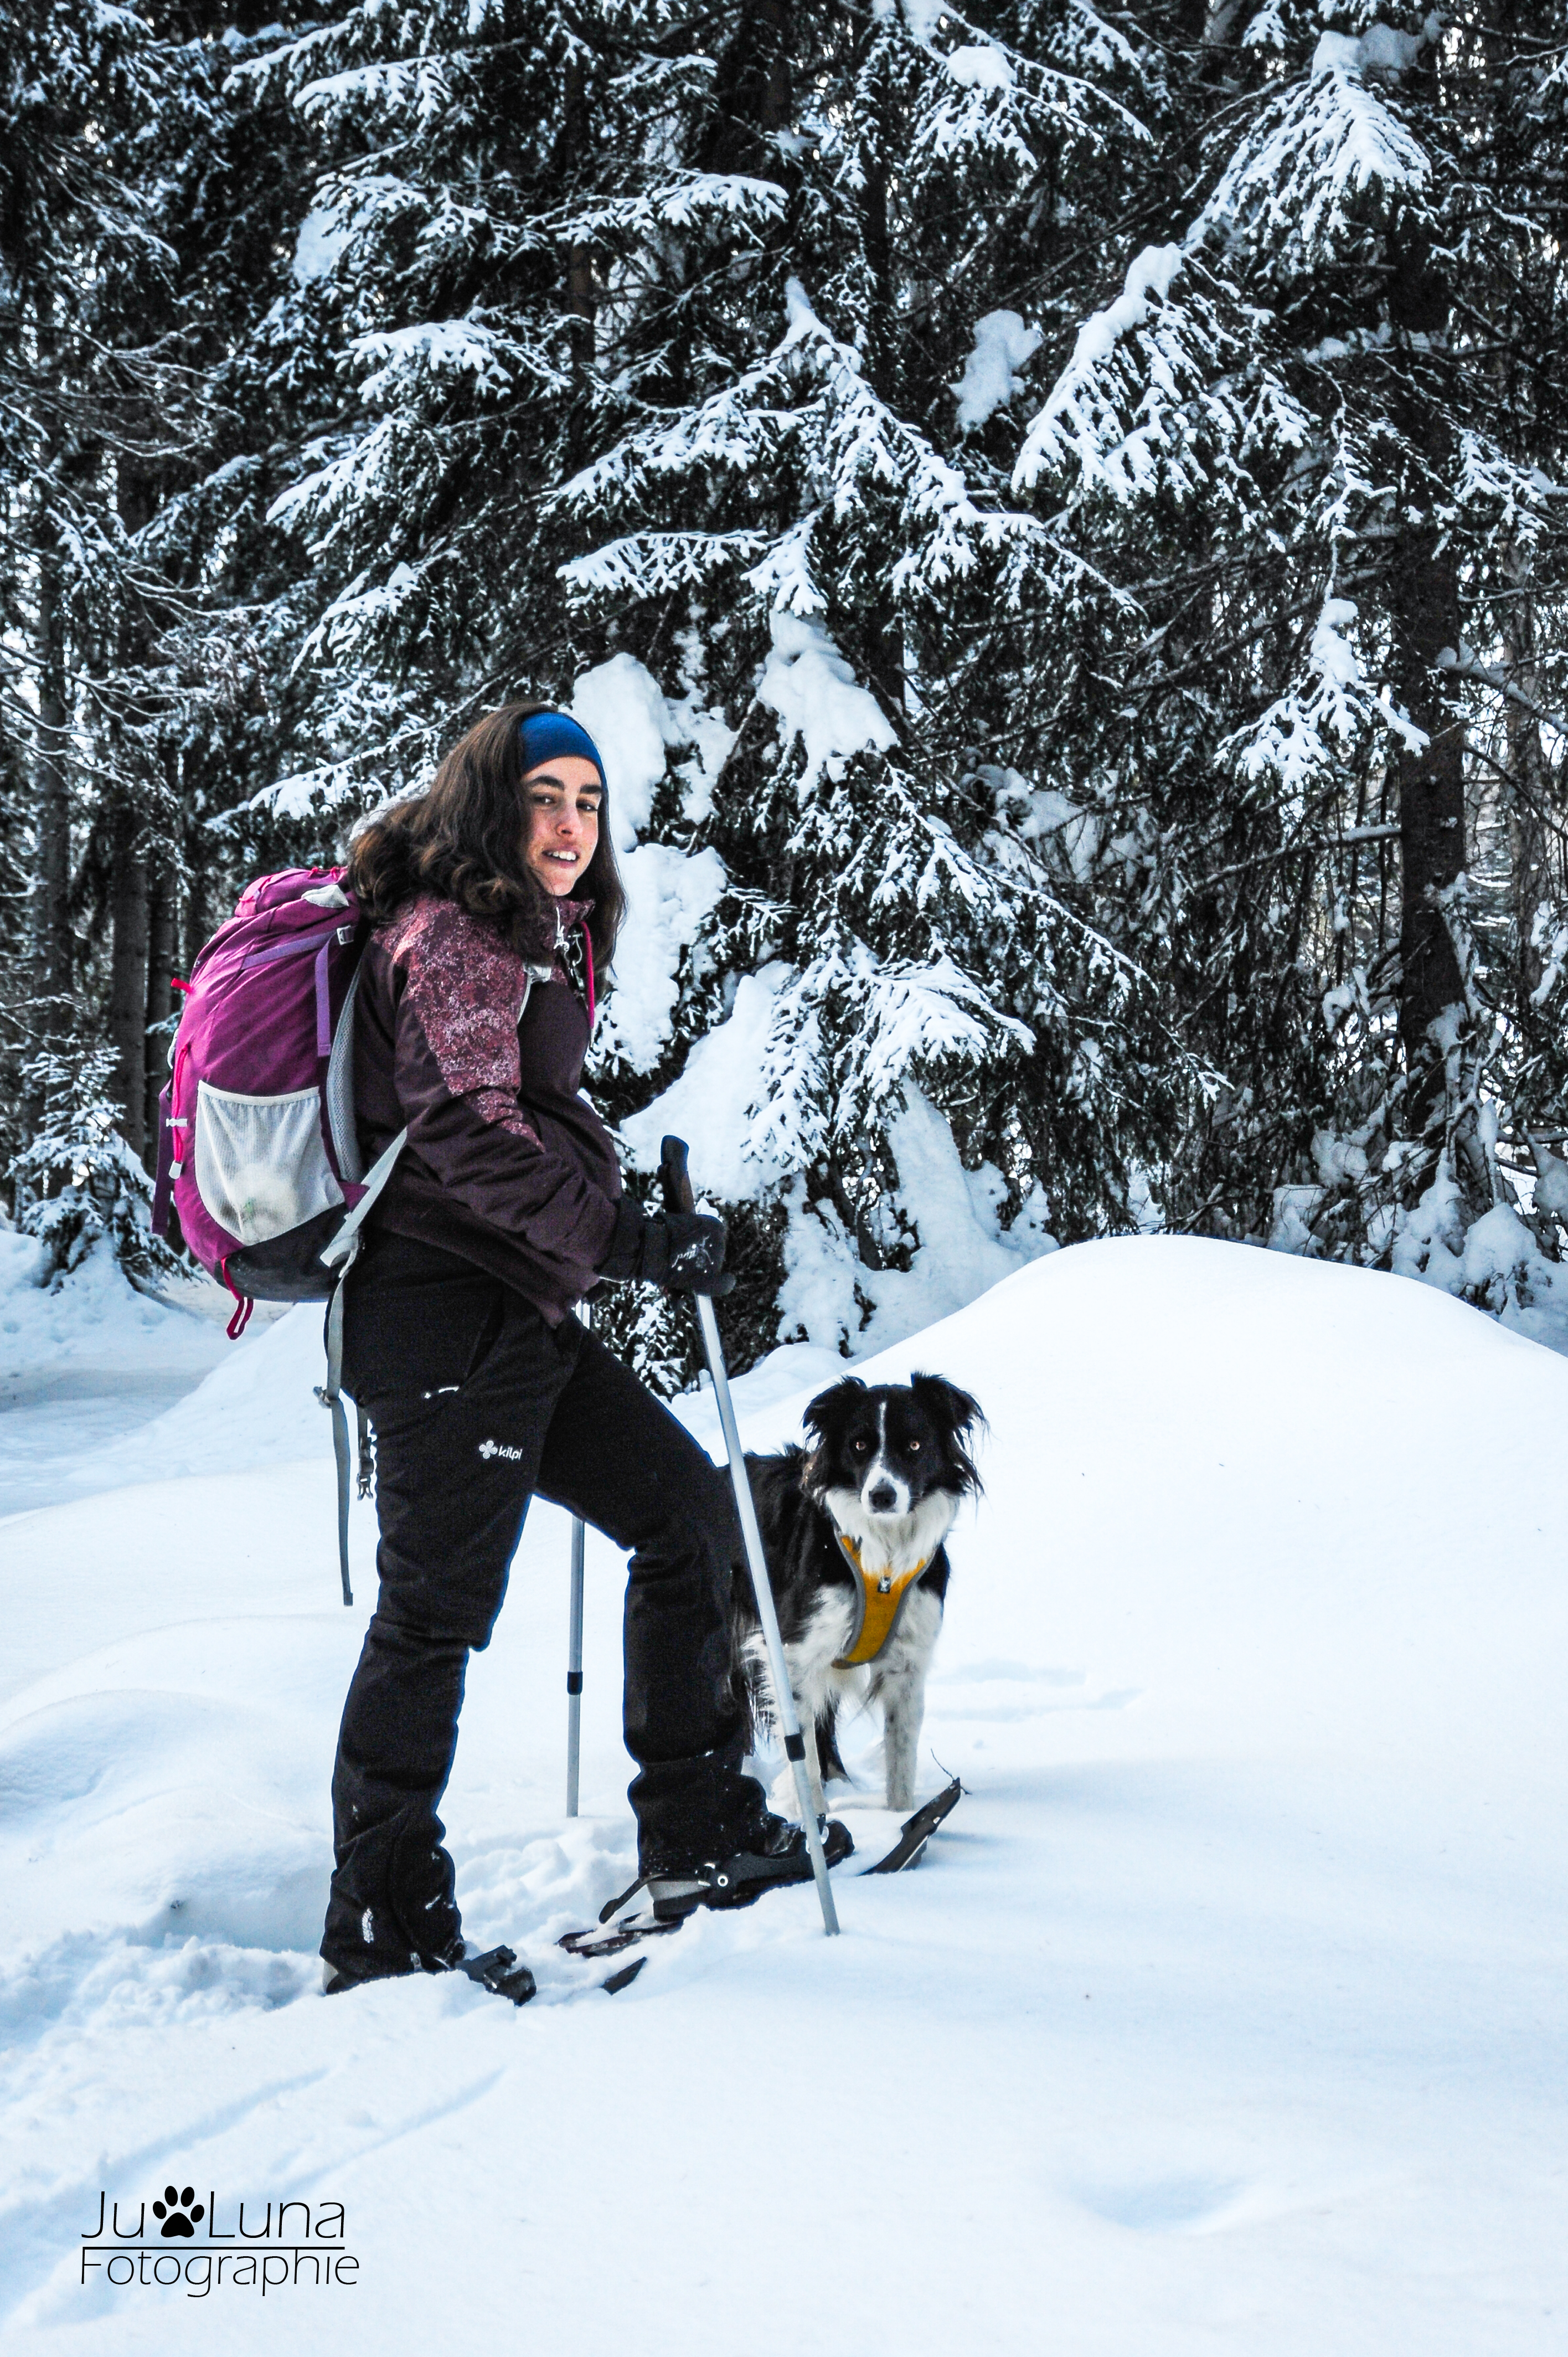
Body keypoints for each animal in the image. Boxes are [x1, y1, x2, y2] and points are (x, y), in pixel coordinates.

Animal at [735, 1376, 981, 1810]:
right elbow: (803, 1758)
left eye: (915, 1445)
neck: (883, 1559)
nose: (882, 1496)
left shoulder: (907, 1663)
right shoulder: (792, 1653)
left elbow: (901, 1759)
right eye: (860, 1445)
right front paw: (817, 1818)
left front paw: (899, 1820)